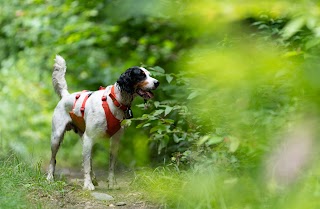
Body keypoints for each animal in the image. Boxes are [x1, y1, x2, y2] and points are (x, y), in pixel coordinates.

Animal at [46, 55, 159, 189]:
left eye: (149, 74)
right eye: (141, 75)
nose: (157, 82)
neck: (115, 101)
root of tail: (66, 96)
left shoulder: (115, 140)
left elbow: (110, 165)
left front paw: (111, 183)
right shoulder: (89, 137)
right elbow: (86, 166)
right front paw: (88, 185)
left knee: (88, 161)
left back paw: (94, 179)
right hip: (57, 137)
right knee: (53, 159)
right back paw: (50, 177)